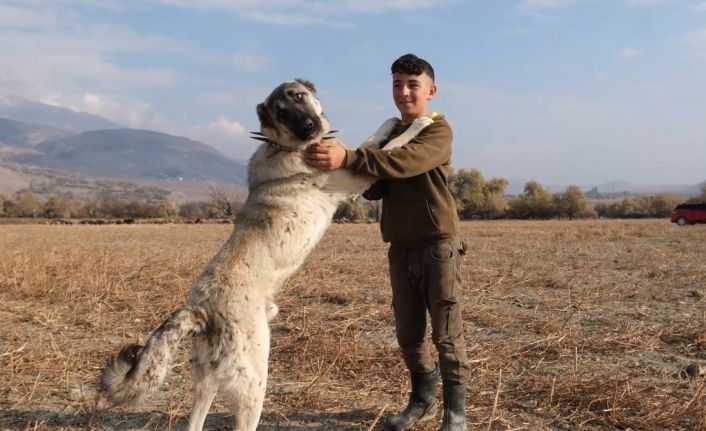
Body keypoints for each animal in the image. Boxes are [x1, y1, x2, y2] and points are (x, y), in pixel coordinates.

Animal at [96, 78, 432, 431]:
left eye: (299, 96)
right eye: (281, 113)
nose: (308, 126)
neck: (285, 146)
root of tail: (200, 309)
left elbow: (374, 141)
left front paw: (392, 121)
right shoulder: (354, 177)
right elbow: (388, 148)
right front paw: (421, 123)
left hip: (206, 381)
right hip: (253, 383)